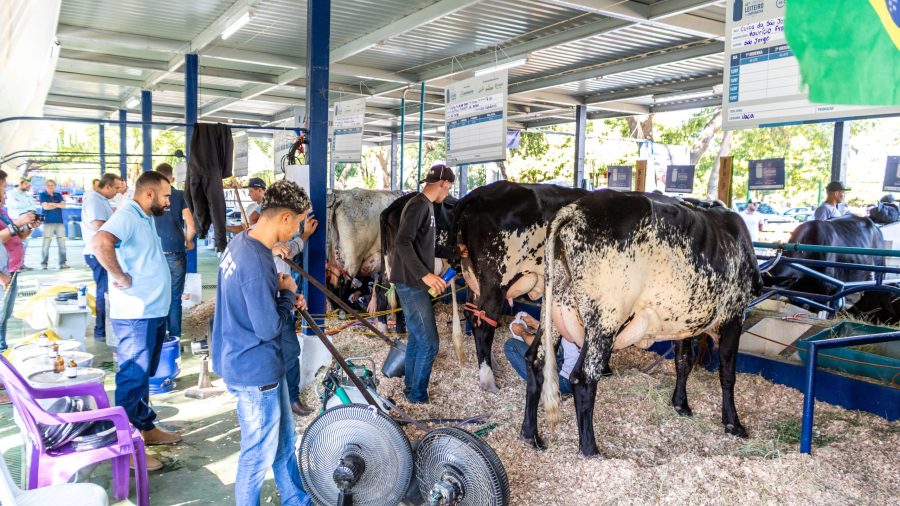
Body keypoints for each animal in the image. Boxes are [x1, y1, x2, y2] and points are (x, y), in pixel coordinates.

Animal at [450, 181, 592, 392]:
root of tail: (480, 193)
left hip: (472, 278)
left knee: (471, 313)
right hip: (495, 280)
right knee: (483, 323)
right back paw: (488, 379)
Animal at [524, 192, 764, 456]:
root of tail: (576, 209)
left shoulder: (684, 323)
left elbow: (684, 362)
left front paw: (681, 404)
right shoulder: (734, 315)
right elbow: (727, 374)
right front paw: (733, 423)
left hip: (554, 311)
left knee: (535, 362)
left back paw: (531, 435)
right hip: (605, 320)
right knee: (584, 377)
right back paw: (589, 448)